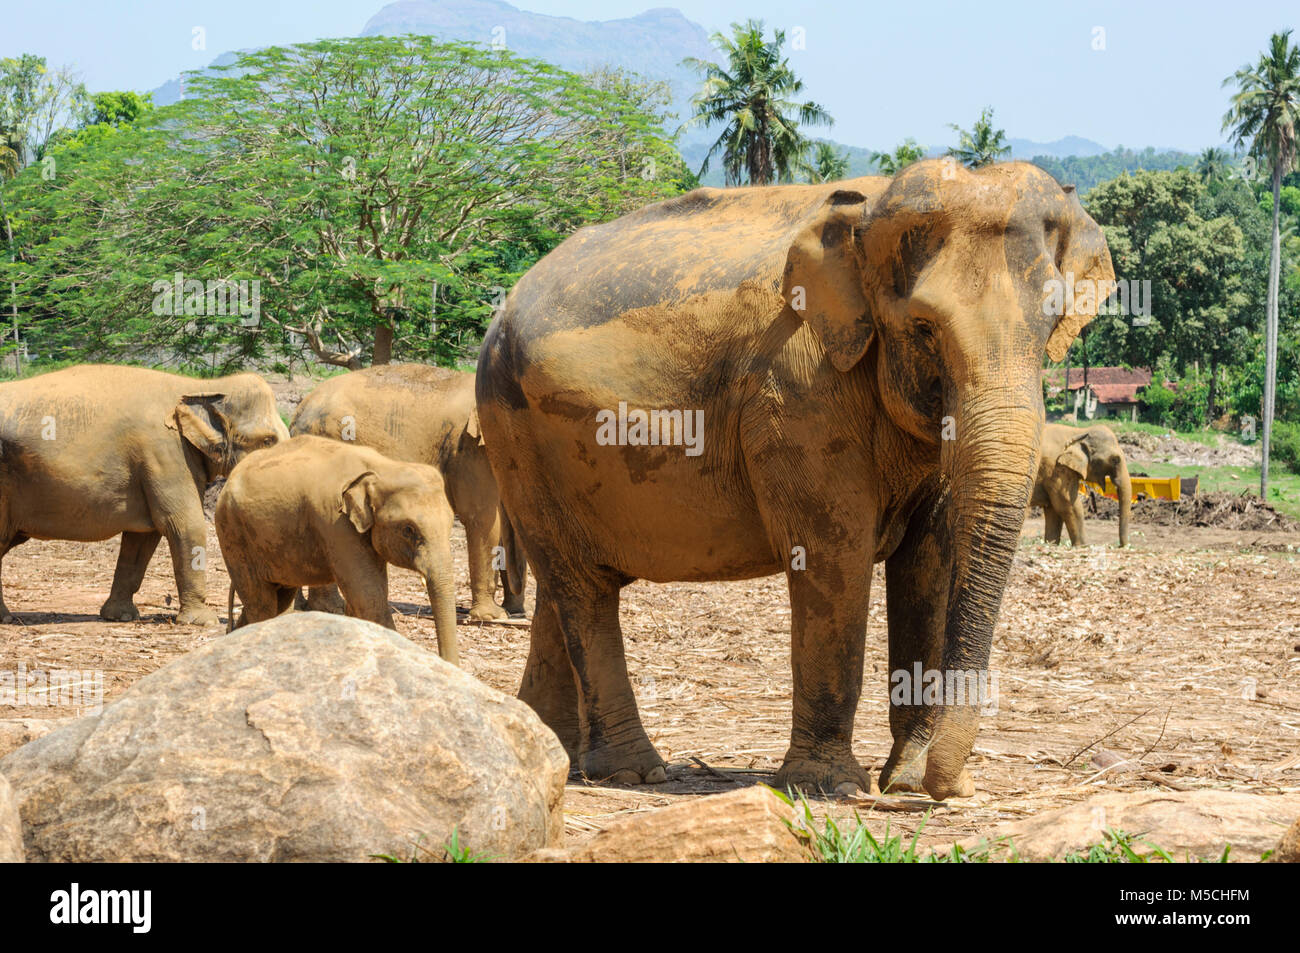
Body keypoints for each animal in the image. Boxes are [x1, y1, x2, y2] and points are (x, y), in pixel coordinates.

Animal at [0, 364, 287, 624]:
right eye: (268, 441)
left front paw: (120, 616)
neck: (200, 386)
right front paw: (202, 621)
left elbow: (142, 538)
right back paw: (6, 618)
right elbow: (184, 525)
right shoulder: (165, 452)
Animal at [220, 436, 465, 665]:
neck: (383, 467)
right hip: (234, 536)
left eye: (450, 523)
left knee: (278, 598)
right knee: (261, 603)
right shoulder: (335, 523)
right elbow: (368, 596)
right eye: (408, 529)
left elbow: (366, 595)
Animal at [289, 361, 522, 616]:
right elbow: (481, 516)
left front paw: (512, 612)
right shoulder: (468, 449)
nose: (516, 609)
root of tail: (298, 412)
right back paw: (330, 609)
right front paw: (492, 615)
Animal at [478, 159, 1118, 800]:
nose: (949, 787)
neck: (869, 216)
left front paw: (905, 780)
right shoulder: (798, 391)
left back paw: (551, 753)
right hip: (516, 436)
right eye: (924, 329)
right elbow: (835, 554)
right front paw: (830, 787)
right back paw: (632, 770)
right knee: (582, 589)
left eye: (1052, 324)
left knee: (563, 589)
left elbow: (930, 562)